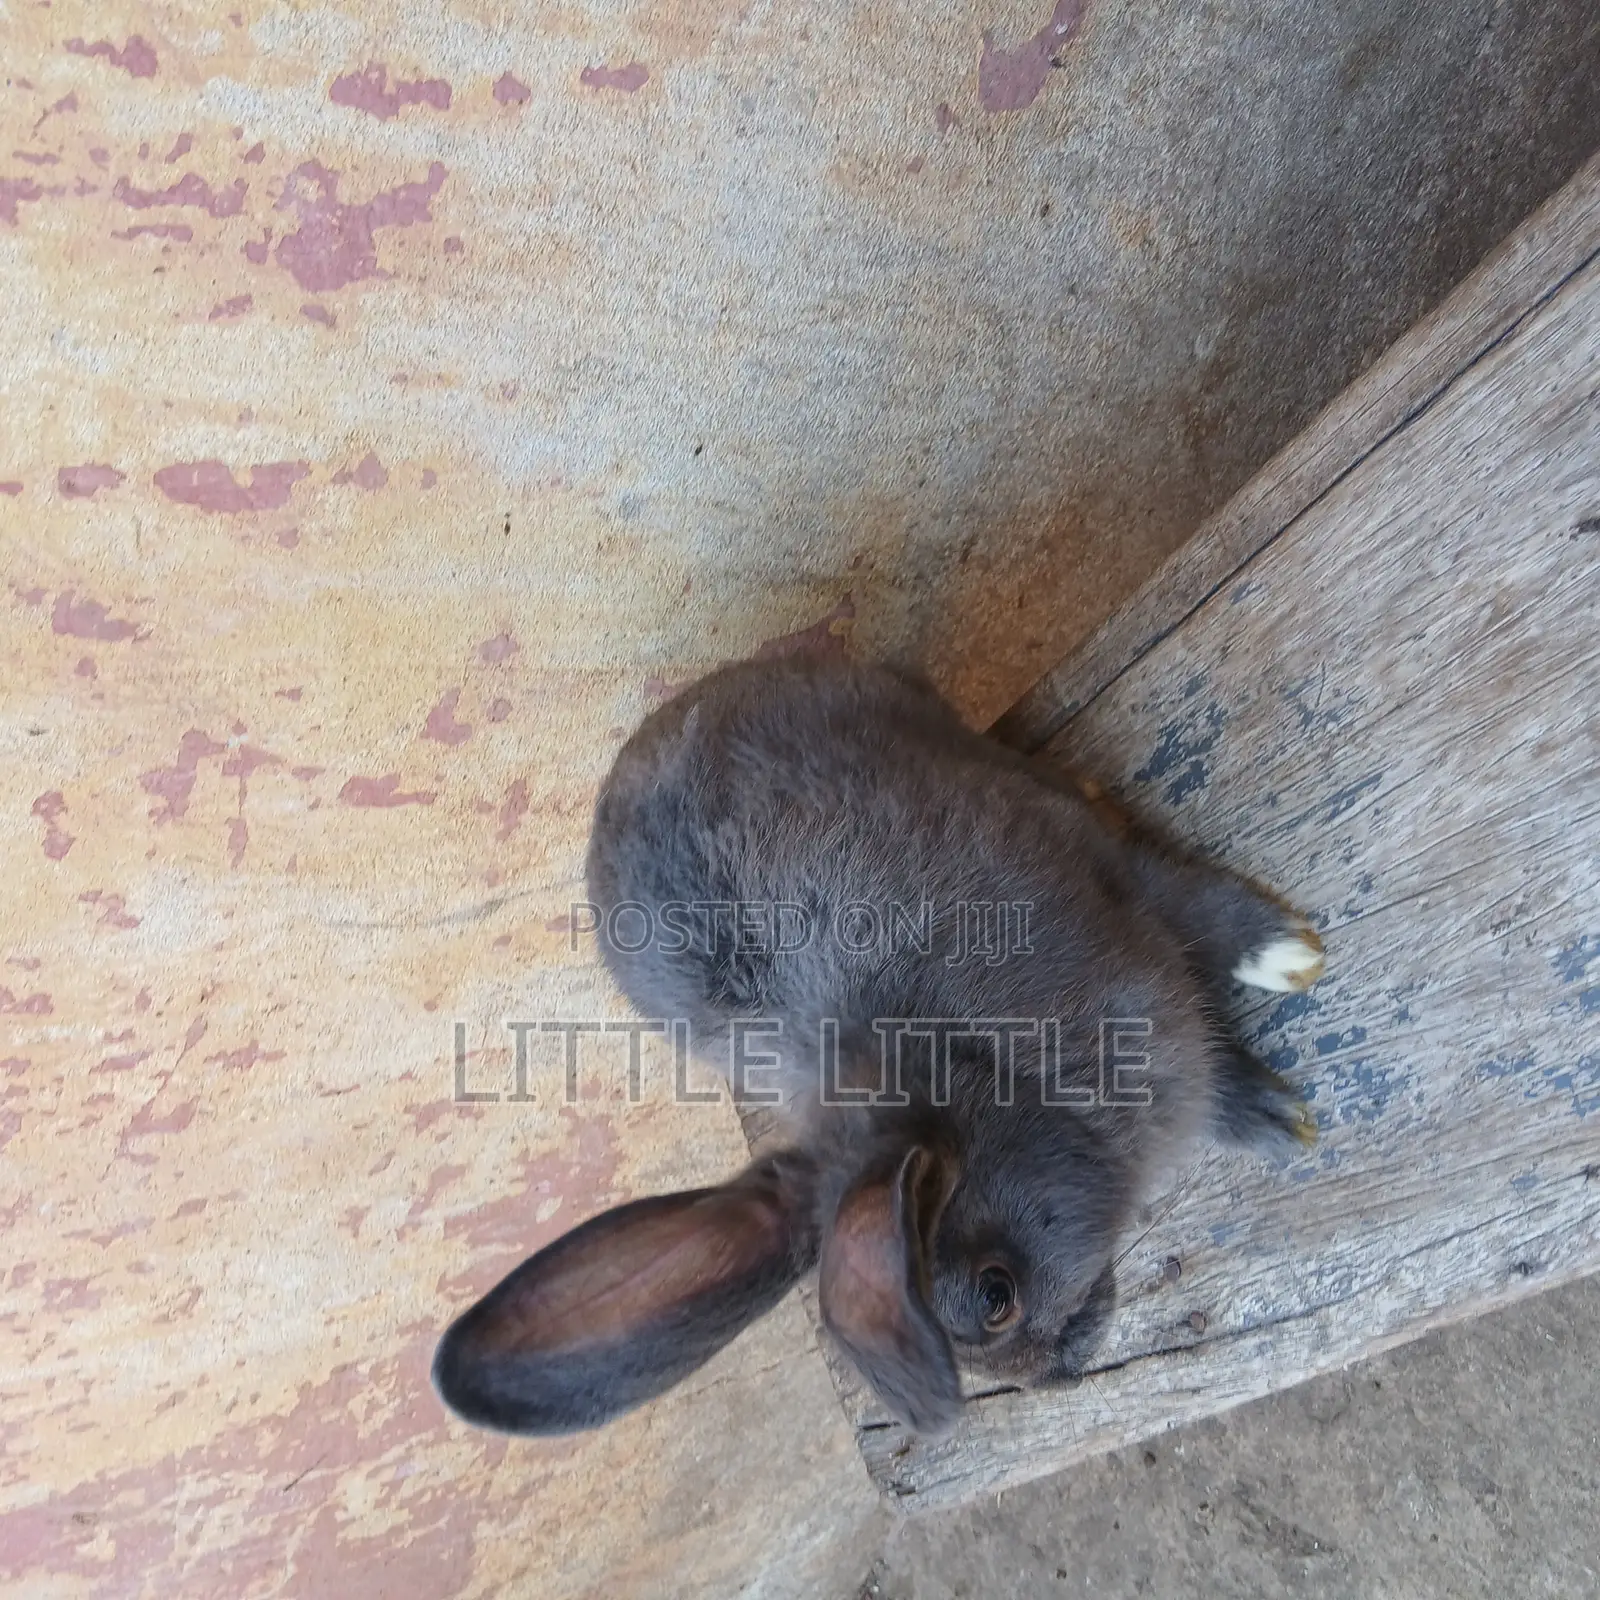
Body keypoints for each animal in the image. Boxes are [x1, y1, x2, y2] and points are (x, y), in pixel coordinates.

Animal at [433, 654, 1325, 1437]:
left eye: (993, 1297)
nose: (1060, 1375)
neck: (973, 1067)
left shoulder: (1103, 895)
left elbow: (1190, 912)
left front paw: (1286, 983)